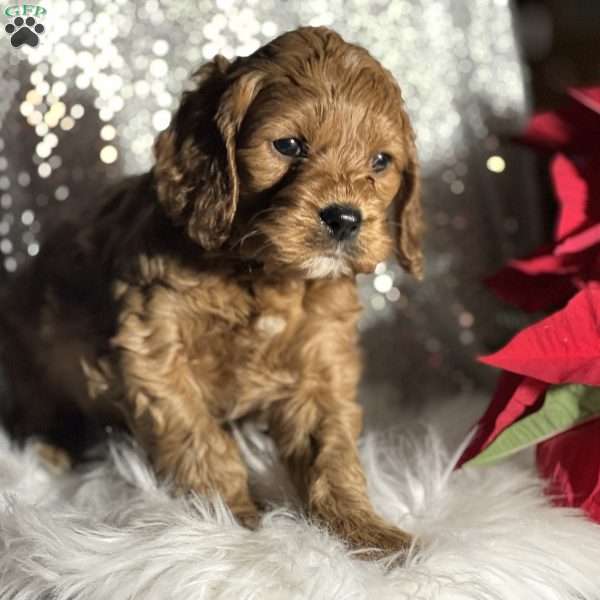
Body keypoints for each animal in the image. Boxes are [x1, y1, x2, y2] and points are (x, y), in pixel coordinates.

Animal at [0, 25, 422, 556]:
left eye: (381, 161)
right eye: (288, 145)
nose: (345, 217)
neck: (261, 273)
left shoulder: (321, 365)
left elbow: (332, 453)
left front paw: (367, 533)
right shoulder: (153, 350)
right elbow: (200, 440)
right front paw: (235, 522)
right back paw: (49, 450)